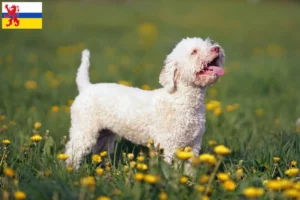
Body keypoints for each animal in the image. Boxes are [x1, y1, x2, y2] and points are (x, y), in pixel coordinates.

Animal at [66, 36, 225, 168]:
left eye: (208, 43)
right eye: (194, 51)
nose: (217, 48)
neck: (181, 101)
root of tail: (86, 86)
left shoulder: (194, 144)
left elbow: (189, 170)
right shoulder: (169, 144)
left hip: (105, 135)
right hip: (84, 129)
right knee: (72, 152)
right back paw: (71, 171)